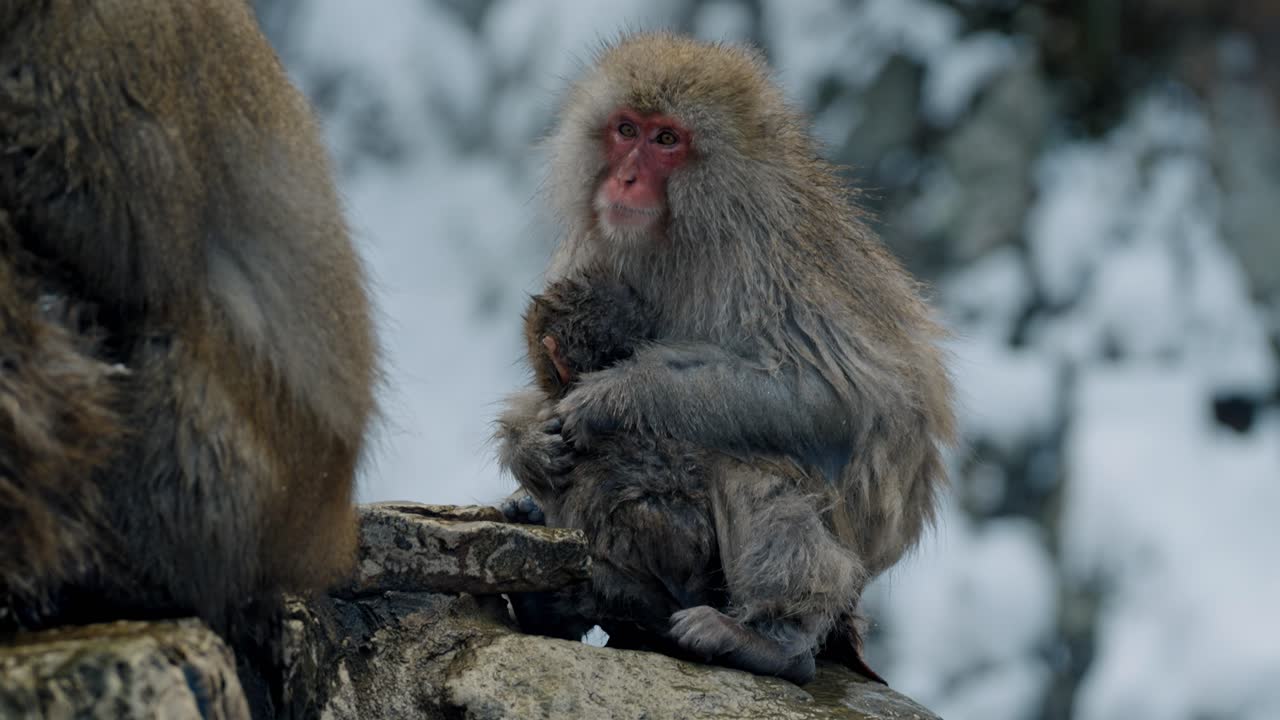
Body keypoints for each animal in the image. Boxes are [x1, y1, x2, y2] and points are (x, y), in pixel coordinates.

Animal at [0, 0, 378, 644]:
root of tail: (323, 538)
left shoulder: (107, 45)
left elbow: (127, 232)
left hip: (270, 485)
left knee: (169, 332)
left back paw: (146, 580)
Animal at [497, 33, 954, 685]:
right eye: (626, 130)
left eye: (667, 140)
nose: (627, 177)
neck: (686, 230)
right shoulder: (597, 245)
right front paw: (530, 446)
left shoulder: (763, 259)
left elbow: (839, 395)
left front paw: (619, 397)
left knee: (744, 457)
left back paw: (773, 641)